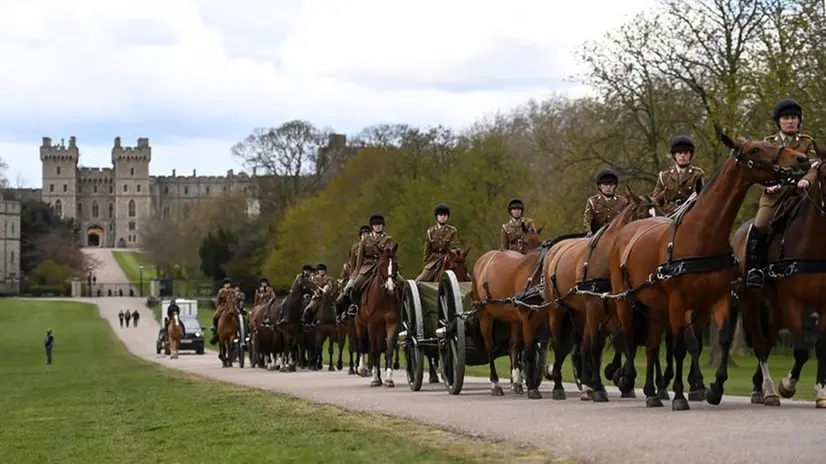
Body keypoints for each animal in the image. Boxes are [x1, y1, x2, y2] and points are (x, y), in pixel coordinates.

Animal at [354, 243, 402, 388]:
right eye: (382, 264)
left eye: (396, 264)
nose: (390, 287)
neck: (383, 298)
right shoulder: (372, 324)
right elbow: (374, 349)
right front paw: (375, 378)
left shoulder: (392, 323)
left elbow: (389, 349)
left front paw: (389, 379)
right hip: (359, 324)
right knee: (362, 343)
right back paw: (362, 369)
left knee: (380, 347)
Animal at [466, 227, 544, 396]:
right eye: (524, 242)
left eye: (539, 241)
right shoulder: (525, 316)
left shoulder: (519, 319)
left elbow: (516, 347)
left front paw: (517, 381)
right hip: (484, 313)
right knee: (489, 345)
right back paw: (495, 383)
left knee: (512, 347)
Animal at [540, 187, 664, 400]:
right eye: (642, 216)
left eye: (660, 212)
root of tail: (554, 249)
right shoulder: (594, 305)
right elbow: (598, 346)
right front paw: (602, 386)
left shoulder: (617, 308)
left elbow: (623, 341)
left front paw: (620, 379)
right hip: (558, 310)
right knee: (559, 345)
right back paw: (559, 385)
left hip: (581, 313)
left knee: (583, 345)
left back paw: (586, 385)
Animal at [600, 128, 808, 410]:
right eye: (755, 149)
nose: (801, 159)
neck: (702, 234)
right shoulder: (679, 302)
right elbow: (679, 347)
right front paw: (679, 394)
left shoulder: (718, 299)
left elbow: (720, 339)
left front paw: (714, 388)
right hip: (625, 300)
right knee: (629, 337)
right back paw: (629, 377)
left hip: (656, 305)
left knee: (652, 345)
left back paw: (652, 392)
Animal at [732, 151, 824, 406]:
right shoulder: (791, 300)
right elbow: (801, 350)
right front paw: (787, 386)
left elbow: (821, 348)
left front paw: (821, 393)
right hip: (752, 302)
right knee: (761, 345)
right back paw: (769, 390)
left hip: (774, 307)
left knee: (769, 339)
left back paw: (758, 387)